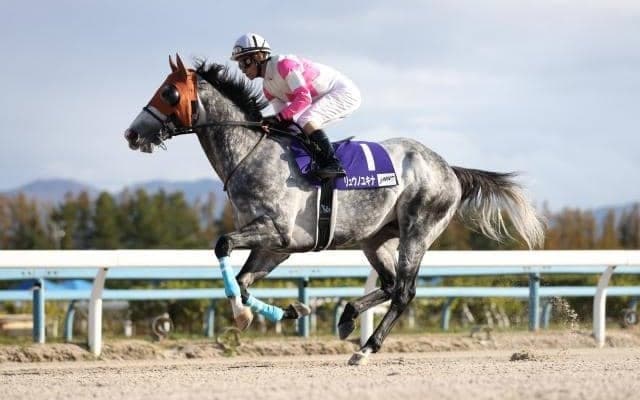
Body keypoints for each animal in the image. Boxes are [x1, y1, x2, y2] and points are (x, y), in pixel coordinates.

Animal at [124, 54, 545, 365]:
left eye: (169, 92)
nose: (131, 133)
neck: (252, 153)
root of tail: (448, 169)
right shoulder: (275, 246)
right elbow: (242, 282)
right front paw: (289, 312)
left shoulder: (277, 232)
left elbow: (223, 244)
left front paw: (246, 316)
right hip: (375, 238)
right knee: (388, 284)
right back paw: (348, 317)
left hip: (418, 229)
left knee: (404, 291)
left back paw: (366, 348)